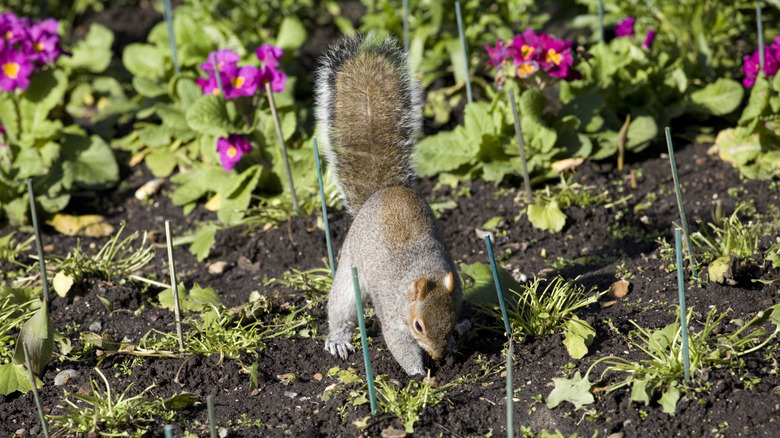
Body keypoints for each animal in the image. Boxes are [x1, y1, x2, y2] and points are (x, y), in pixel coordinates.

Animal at [315, 34, 469, 376]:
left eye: (450, 319)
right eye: (419, 326)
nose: (438, 356)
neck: (422, 272)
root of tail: (384, 191)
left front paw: (454, 343)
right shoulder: (392, 314)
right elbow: (399, 345)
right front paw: (419, 374)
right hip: (348, 274)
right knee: (340, 308)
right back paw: (338, 339)